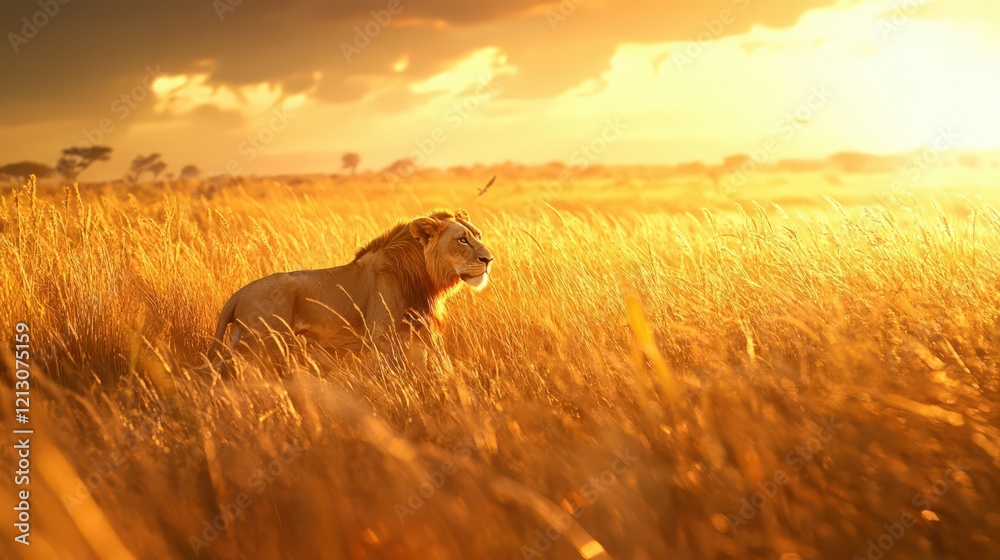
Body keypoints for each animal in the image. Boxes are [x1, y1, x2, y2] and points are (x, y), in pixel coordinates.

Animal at [208, 208, 495, 365]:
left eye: (478, 235)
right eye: (462, 240)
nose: (489, 260)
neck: (423, 278)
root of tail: (237, 295)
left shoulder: (418, 334)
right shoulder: (381, 338)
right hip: (261, 348)